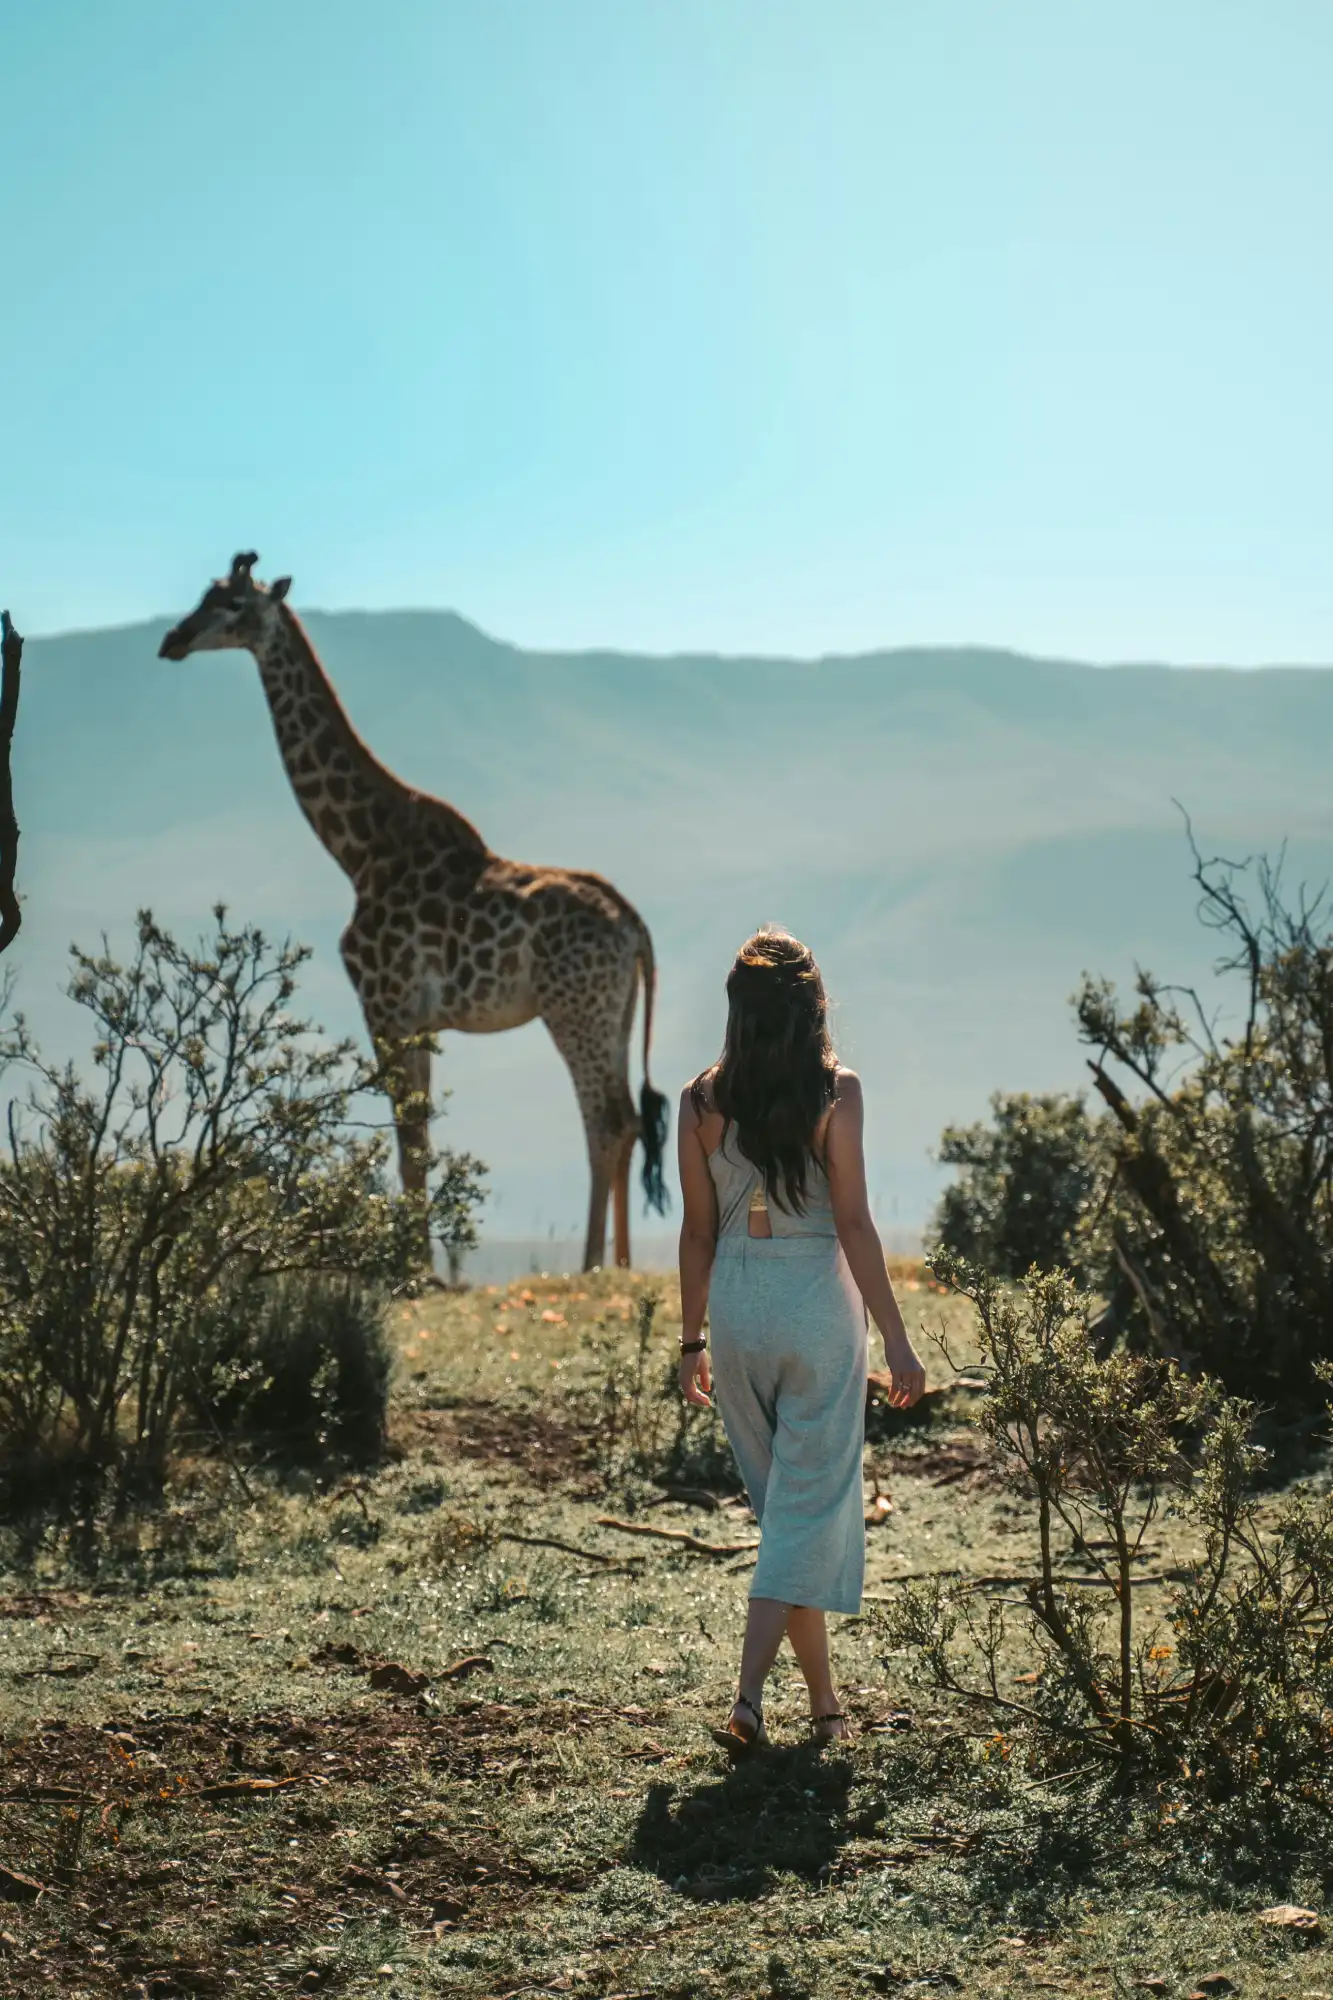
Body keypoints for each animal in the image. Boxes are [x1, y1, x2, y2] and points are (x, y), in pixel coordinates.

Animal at [160, 548, 668, 1264]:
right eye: (203, 597)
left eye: (233, 605)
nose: (172, 640)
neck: (356, 850)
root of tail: (634, 925)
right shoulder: (423, 1019)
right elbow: (421, 1137)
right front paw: (415, 1262)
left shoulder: (385, 1002)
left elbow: (410, 1139)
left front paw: (411, 1268)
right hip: (615, 1013)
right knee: (626, 1121)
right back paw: (620, 1263)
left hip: (575, 1009)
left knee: (607, 1119)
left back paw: (593, 1265)